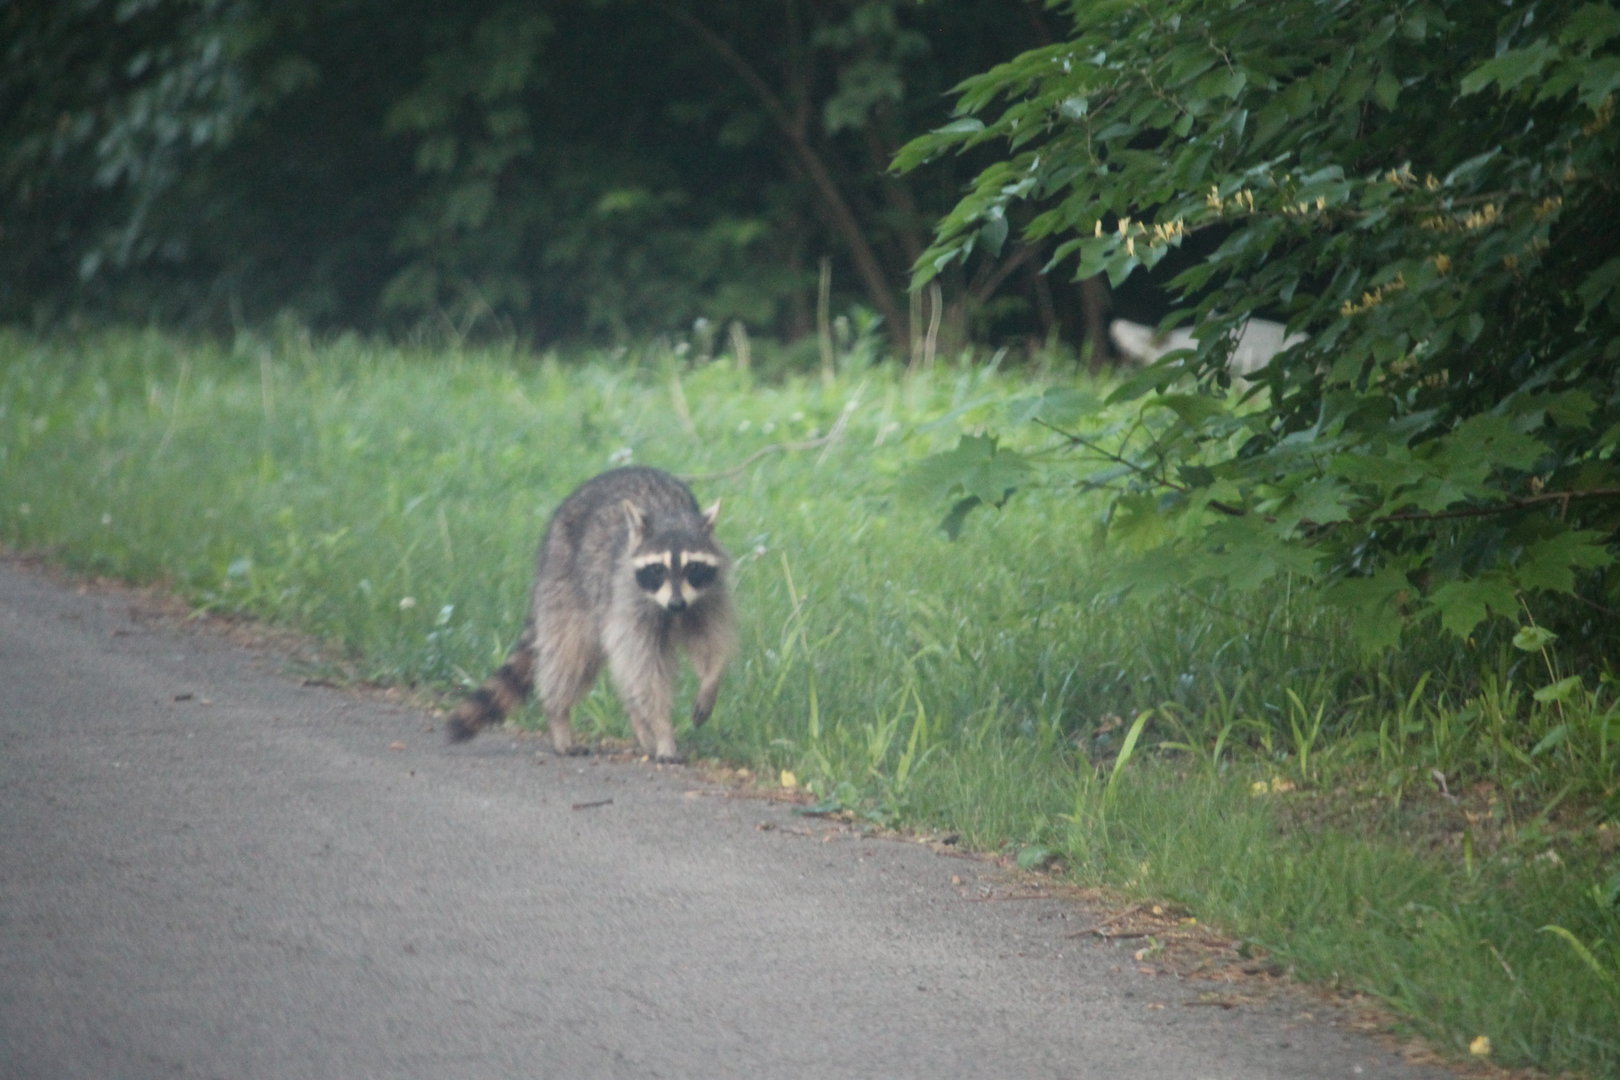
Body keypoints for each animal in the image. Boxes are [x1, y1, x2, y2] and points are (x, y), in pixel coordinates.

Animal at [446, 466, 735, 763]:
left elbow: (711, 643)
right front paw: (662, 728)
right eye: (657, 569)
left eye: (693, 568)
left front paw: (711, 682)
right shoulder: (628, 600)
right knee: (571, 656)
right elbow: (646, 674)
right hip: (565, 585)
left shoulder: (709, 597)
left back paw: (637, 725)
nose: (676, 604)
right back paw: (559, 715)